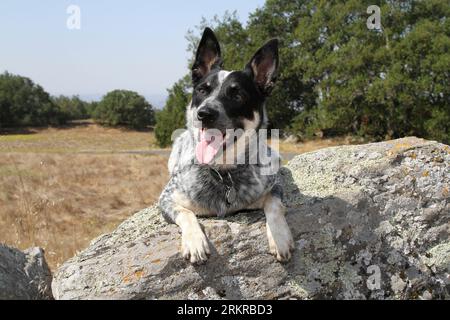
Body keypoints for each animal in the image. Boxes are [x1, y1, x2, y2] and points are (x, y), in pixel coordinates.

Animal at [159, 26, 296, 262]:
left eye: (237, 95)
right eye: (202, 90)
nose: (204, 113)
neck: (224, 174)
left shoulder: (274, 186)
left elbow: (274, 204)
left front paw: (279, 237)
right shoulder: (166, 198)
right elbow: (185, 212)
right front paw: (195, 240)